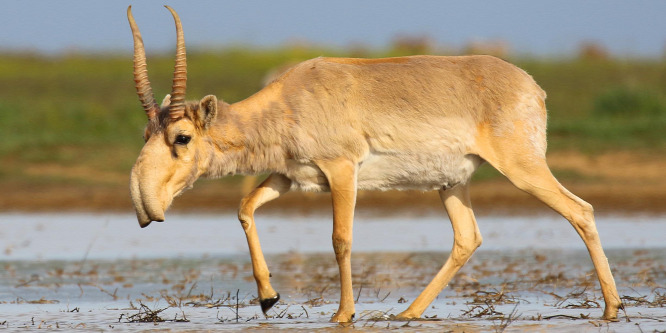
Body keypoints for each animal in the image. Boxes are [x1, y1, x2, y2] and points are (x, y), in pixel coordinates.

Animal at [127, 5, 620, 322]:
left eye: (182, 137)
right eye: (146, 134)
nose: (145, 206)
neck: (290, 99)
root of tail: (531, 86)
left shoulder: (342, 171)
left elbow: (340, 239)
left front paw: (343, 314)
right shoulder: (289, 176)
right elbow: (245, 208)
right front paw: (268, 298)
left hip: (522, 168)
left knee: (580, 210)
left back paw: (613, 307)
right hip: (451, 184)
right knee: (468, 237)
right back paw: (408, 312)